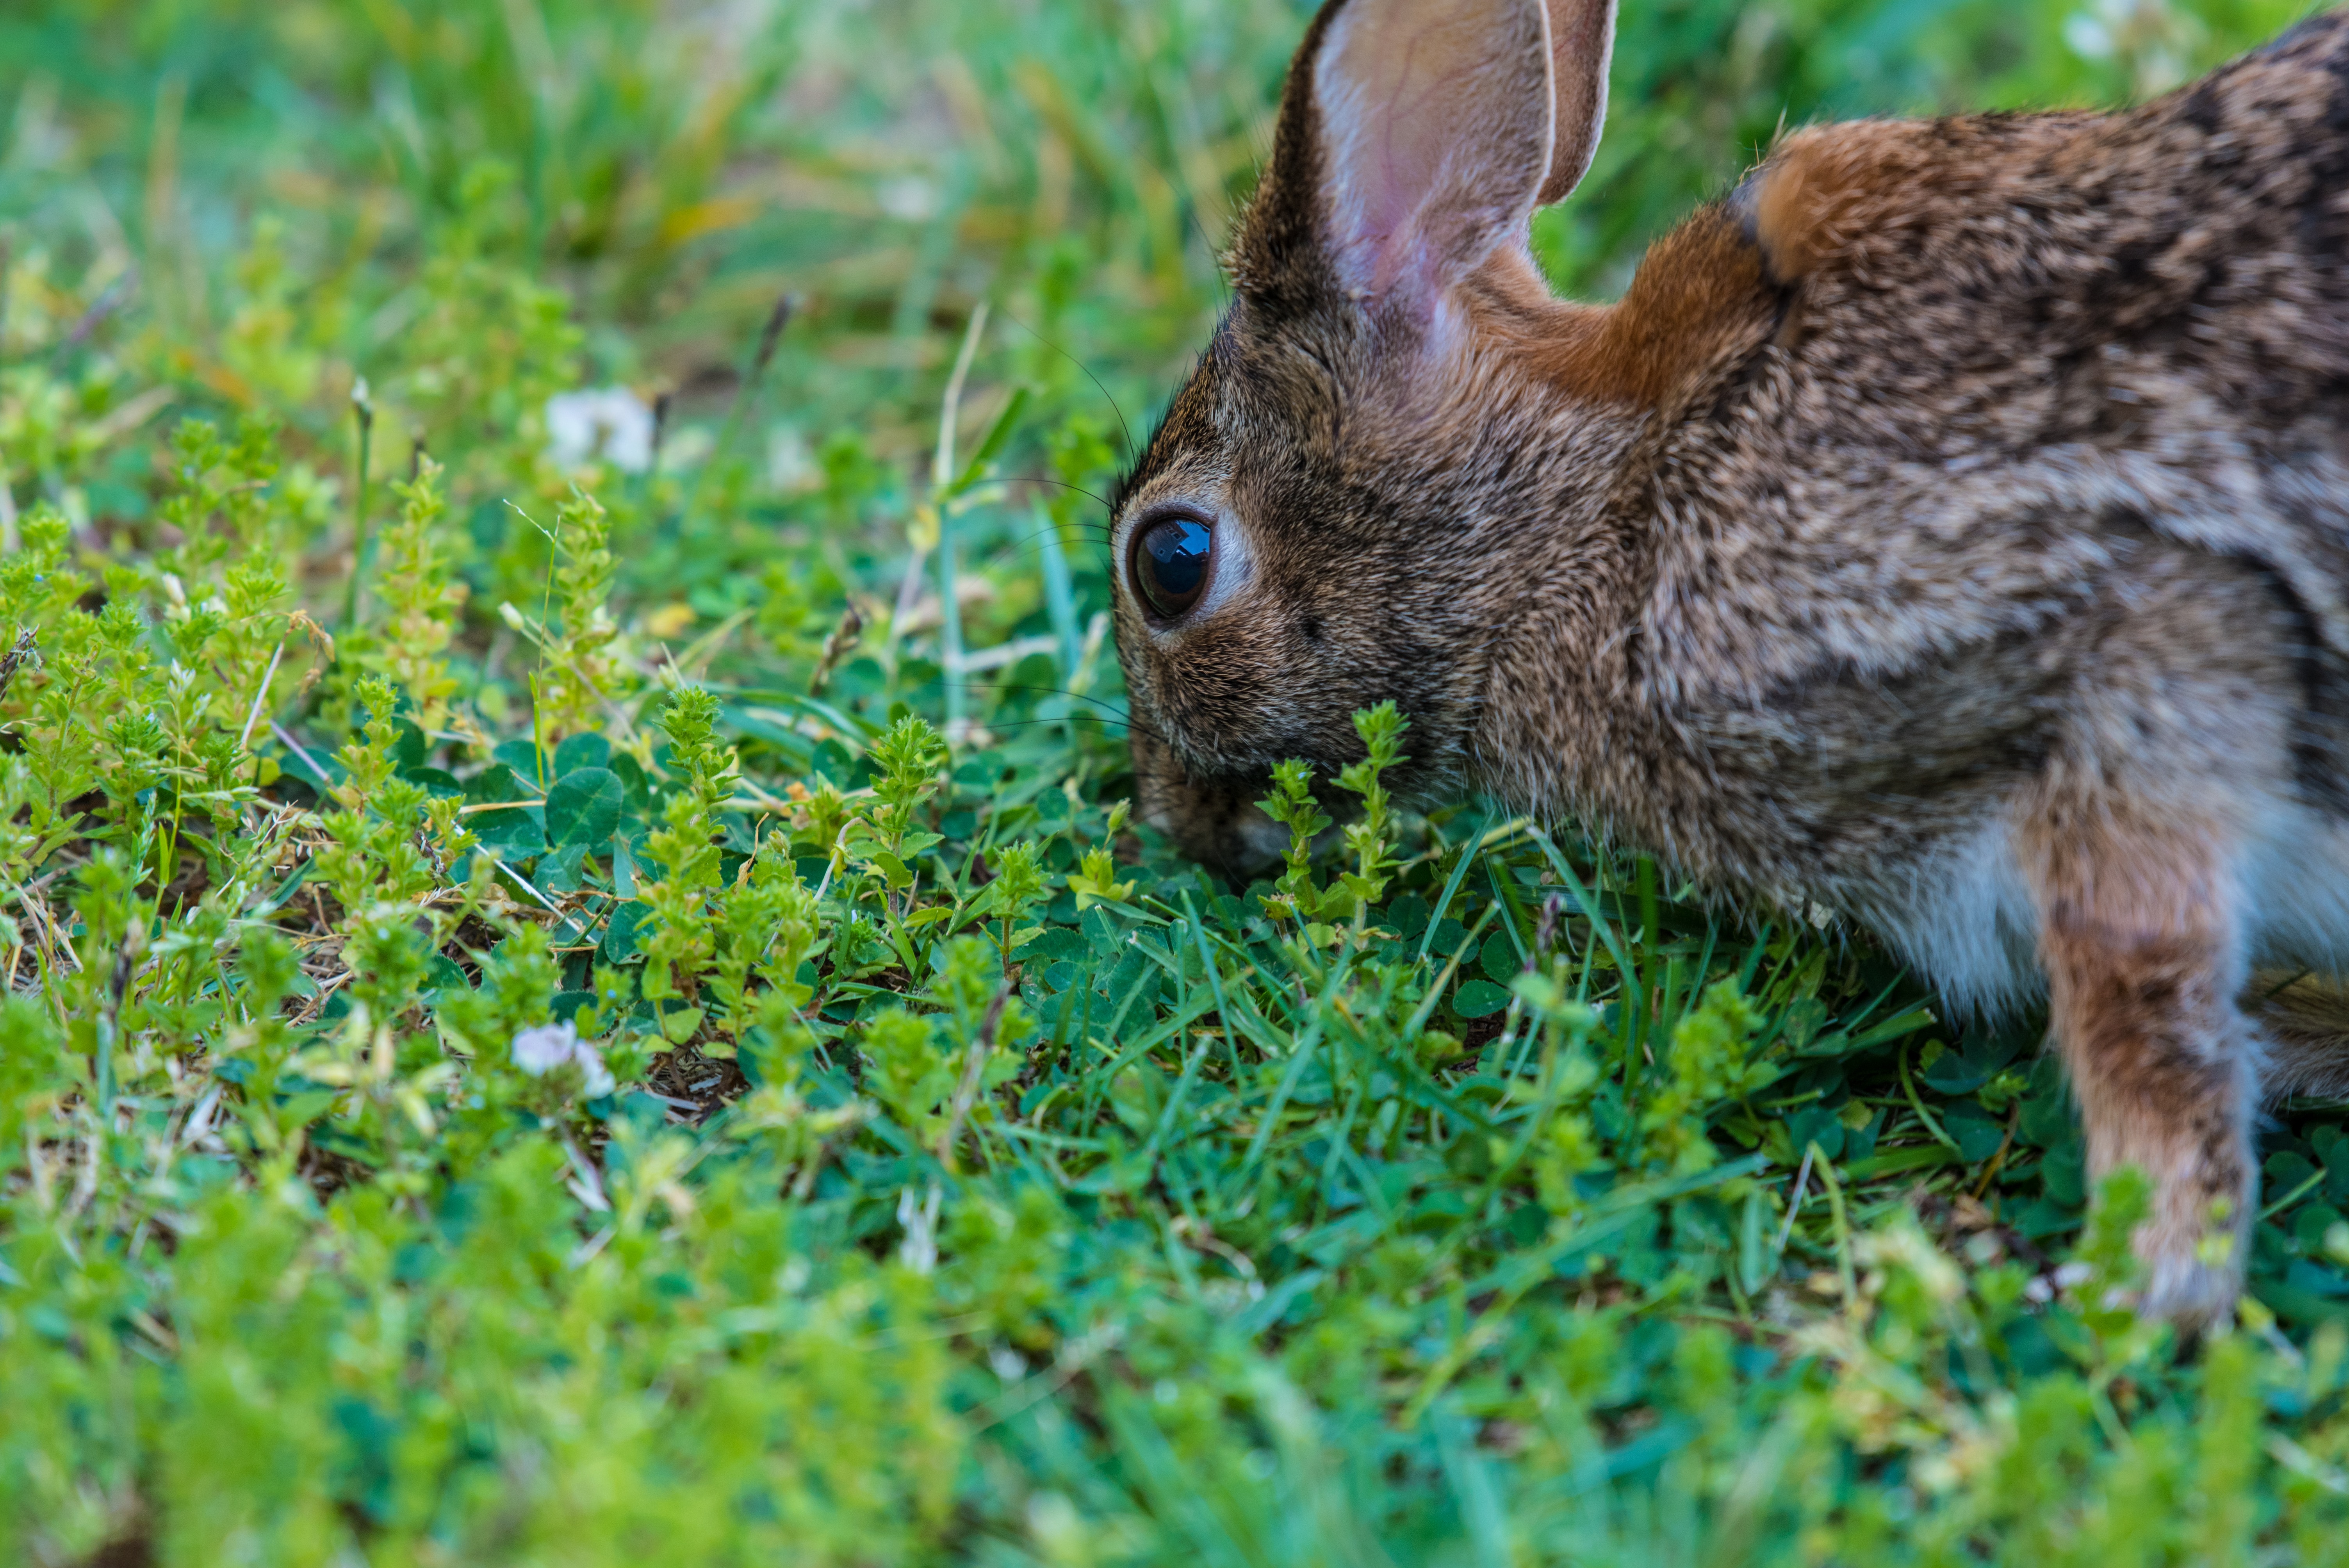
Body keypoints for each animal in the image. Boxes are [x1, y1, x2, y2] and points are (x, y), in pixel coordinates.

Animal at [1109, 0, 2349, 1333]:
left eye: (1170, 562)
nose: (1176, 822)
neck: (1592, 503)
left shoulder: (2143, 647)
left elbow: (2142, 997)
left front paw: (2132, 1289)